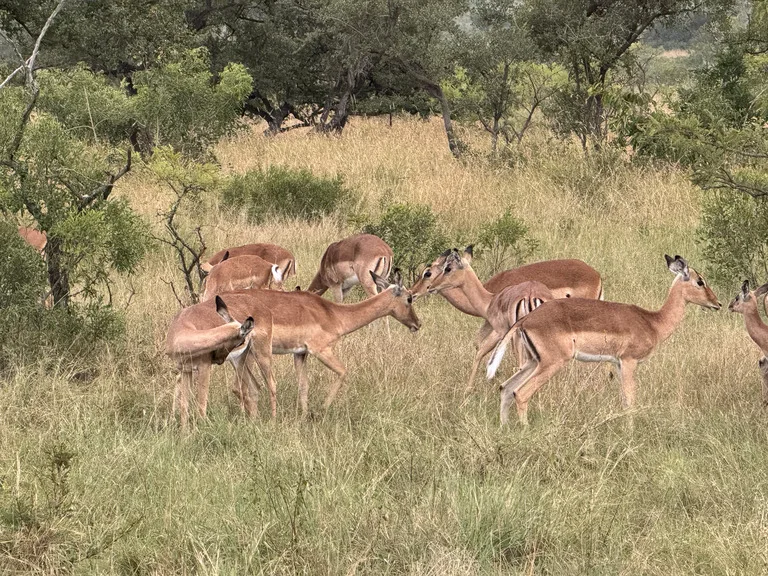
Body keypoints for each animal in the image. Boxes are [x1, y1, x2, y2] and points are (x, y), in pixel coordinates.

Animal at [488, 254, 724, 426]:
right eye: (700, 281)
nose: (718, 303)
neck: (652, 321)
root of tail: (526, 319)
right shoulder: (629, 362)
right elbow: (630, 399)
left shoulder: (617, 364)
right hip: (551, 363)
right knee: (520, 393)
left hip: (532, 361)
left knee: (505, 388)